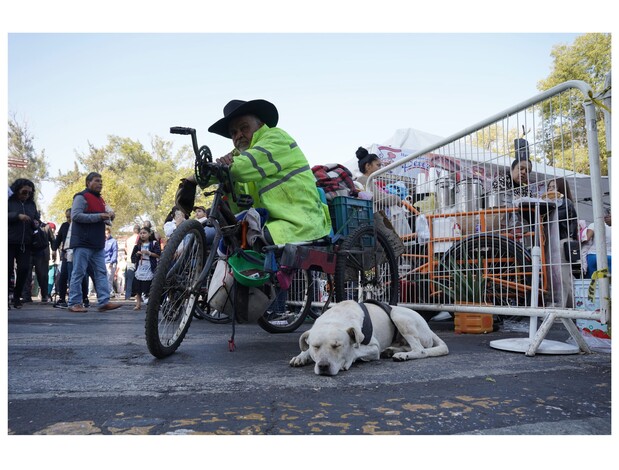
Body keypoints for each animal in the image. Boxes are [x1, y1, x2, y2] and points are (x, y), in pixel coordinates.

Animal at [290, 302, 450, 374]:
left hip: (398, 316)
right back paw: (391, 350)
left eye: (337, 346)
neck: (336, 317)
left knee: (420, 350)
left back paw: (402, 355)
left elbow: (355, 350)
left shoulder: (373, 347)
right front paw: (301, 356)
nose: (323, 366)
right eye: (315, 347)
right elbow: (305, 350)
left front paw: (347, 360)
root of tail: (429, 329)